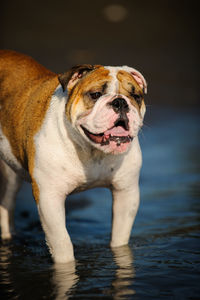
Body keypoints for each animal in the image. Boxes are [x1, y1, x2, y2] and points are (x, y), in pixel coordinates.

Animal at [0, 51, 147, 262]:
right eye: (95, 95)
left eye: (136, 96)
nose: (120, 102)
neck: (91, 150)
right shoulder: (49, 198)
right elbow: (62, 244)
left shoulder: (126, 193)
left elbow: (120, 239)